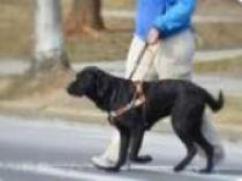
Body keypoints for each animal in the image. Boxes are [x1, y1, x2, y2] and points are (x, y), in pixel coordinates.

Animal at [67, 66, 224, 173]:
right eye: (77, 77)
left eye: (82, 79)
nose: (67, 88)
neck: (113, 92)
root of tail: (200, 90)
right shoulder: (124, 132)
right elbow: (122, 154)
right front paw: (115, 168)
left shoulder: (138, 128)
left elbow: (132, 153)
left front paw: (146, 159)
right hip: (193, 126)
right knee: (209, 147)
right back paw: (206, 170)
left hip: (181, 124)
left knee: (193, 149)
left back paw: (180, 167)